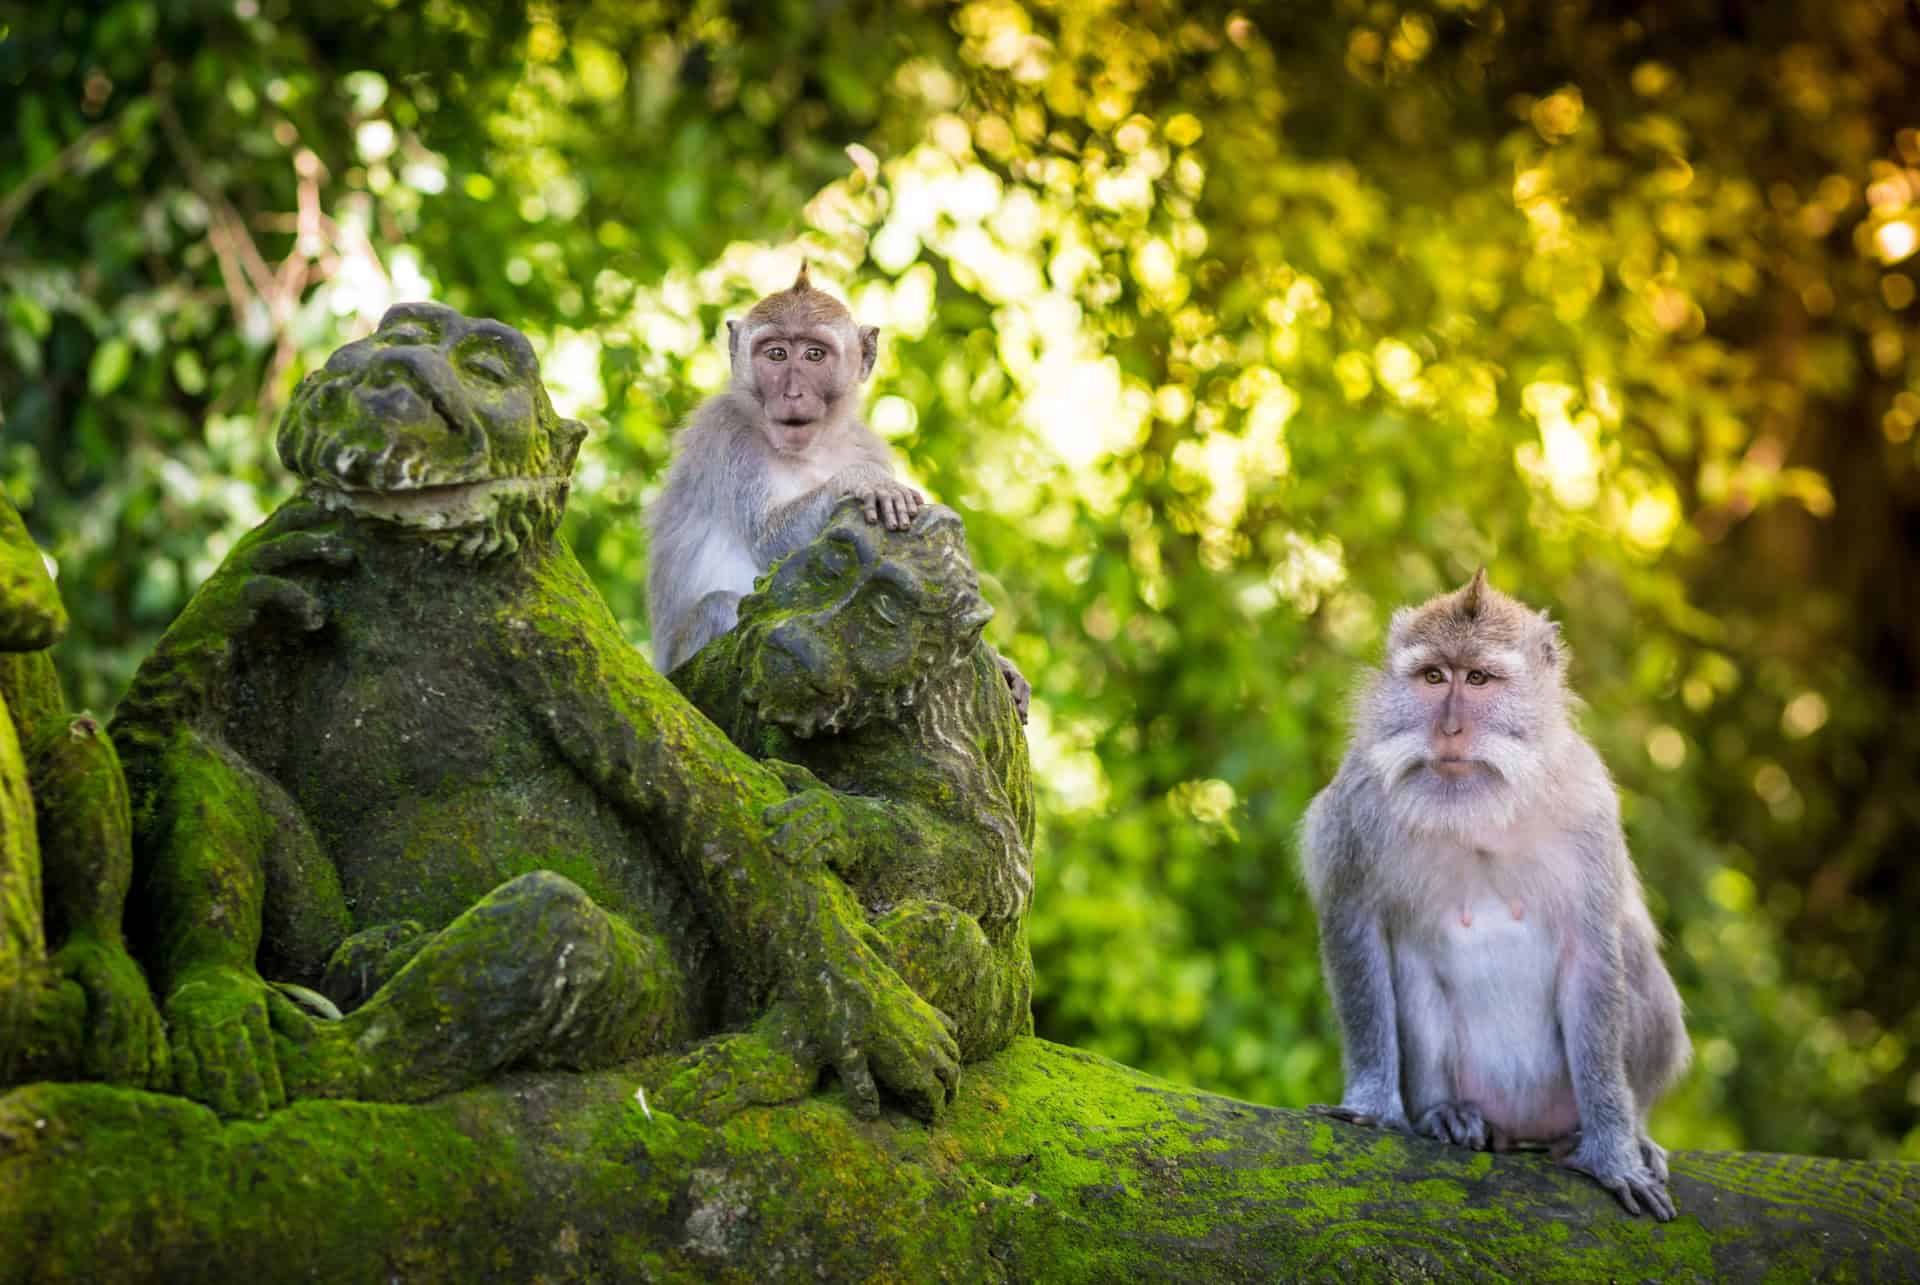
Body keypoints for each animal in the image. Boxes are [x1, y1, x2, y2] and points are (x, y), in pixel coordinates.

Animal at [1298, 569, 1690, 1220]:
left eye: (1478, 678)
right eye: (1434, 677)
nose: (1450, 730)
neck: (1478, 810)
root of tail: (1521, 1128)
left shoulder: (1588, 807)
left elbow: (1594, 955)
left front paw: (1613, 1154)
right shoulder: (1358, 805)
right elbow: (1356, 928)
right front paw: (1375, 1105)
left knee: (1634, 959)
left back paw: (1617, 1133)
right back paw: (1446, 1114)